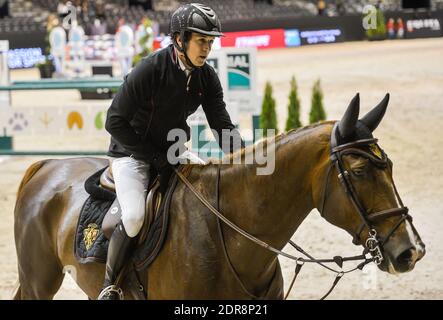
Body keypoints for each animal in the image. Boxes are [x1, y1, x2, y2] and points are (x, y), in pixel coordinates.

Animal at [13, 94, 426, 298]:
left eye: (389, 166)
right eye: (358, 172)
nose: (411, 251)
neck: (228, 233)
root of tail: (47, 166)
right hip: (39, 282)